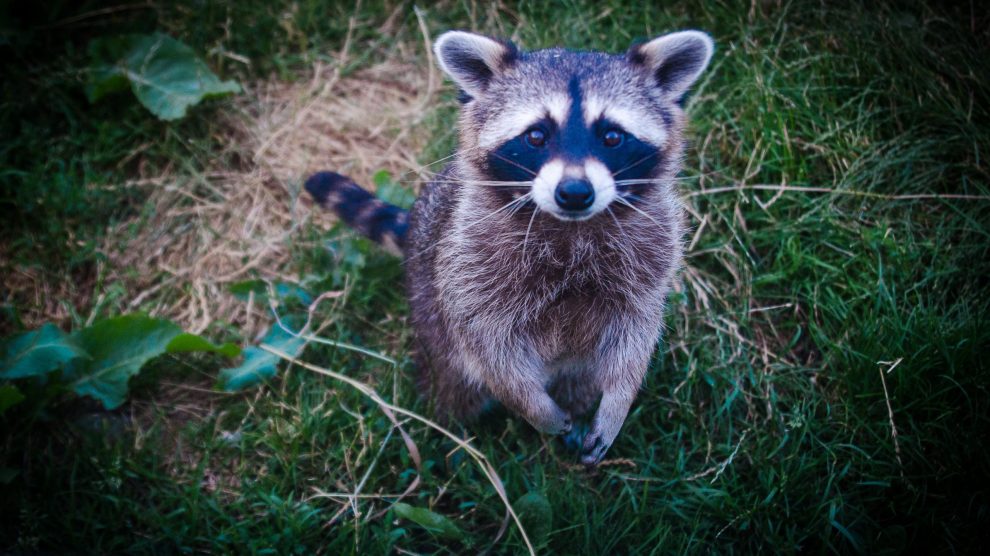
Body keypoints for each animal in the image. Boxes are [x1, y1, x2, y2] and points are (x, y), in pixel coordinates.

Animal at [306, 30, 713, 465]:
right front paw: (532, 406)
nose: (574, 192)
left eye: (612, 136)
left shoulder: (651, 254)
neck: (570, 226)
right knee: (452, 384)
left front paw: (618, 400)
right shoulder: (469, 264)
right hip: (428, 306)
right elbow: (488, 347)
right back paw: (449, 433)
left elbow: (636, 334)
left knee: (582, 378)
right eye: (536, 135)